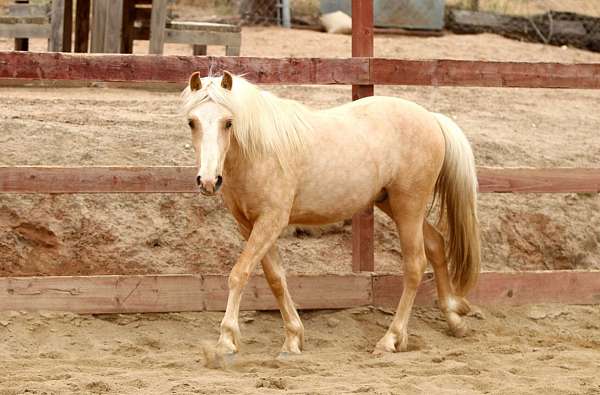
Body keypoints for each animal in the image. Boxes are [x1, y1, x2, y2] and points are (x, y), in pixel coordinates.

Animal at [178, 70, 478, 356]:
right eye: (192, 122)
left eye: (228, 122)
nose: (208, 181)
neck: (261, 151)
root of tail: (432, 118)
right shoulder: (250, 225)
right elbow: (276, 278)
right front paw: (293, 338)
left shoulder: (271, 221)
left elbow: (239, 274)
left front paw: (227, 339)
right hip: (394, 205)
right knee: (436, 244)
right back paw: (454, 319)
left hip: (409, 207)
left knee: (415, 265)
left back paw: (391, 339)